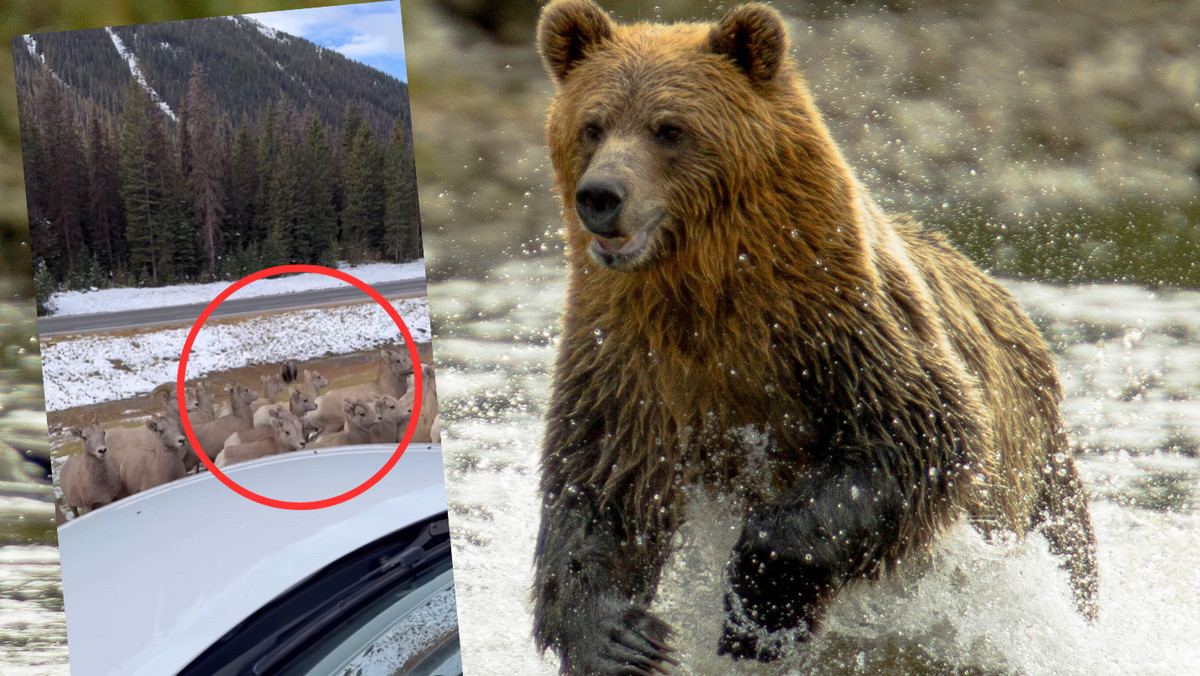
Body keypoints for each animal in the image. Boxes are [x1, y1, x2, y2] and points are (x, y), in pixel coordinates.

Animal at [530, 2, 1094, 672]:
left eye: (669, 129)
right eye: (592, 124)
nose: (601, 195)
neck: (707, 289)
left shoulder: (839, 322)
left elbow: (915, 437)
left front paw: (757, 609)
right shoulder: (626, 356)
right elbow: (600, 486)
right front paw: (622, 639)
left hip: (1038, 481)